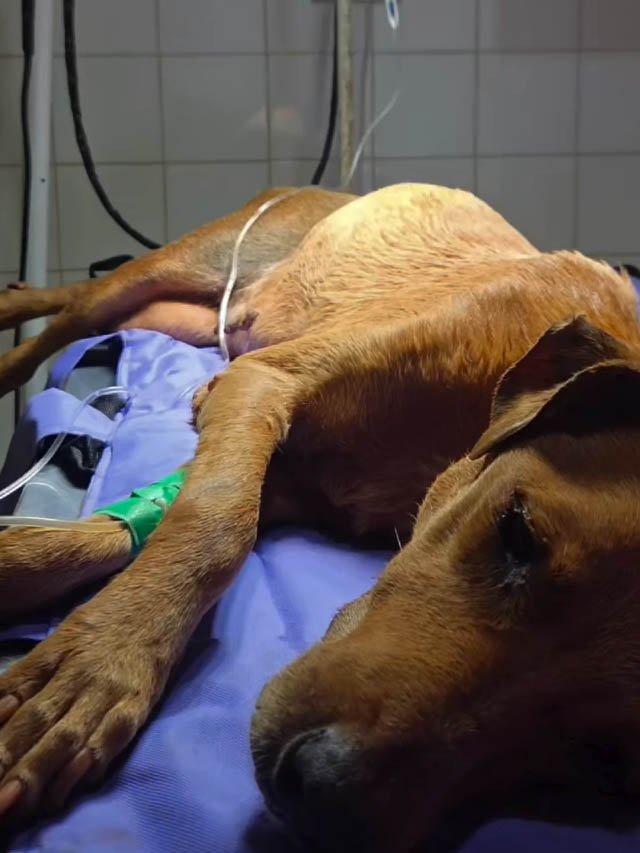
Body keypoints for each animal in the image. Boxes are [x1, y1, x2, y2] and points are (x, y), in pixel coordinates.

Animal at [1, 183, 640, 852]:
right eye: (517, 533)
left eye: (607, 761)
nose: (316, 789)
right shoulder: (262, 380)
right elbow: (217, 522)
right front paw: (102, 662)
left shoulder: (305, 484)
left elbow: (150, 523)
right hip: (186, 265)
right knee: (73, 309)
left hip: (173, 316)